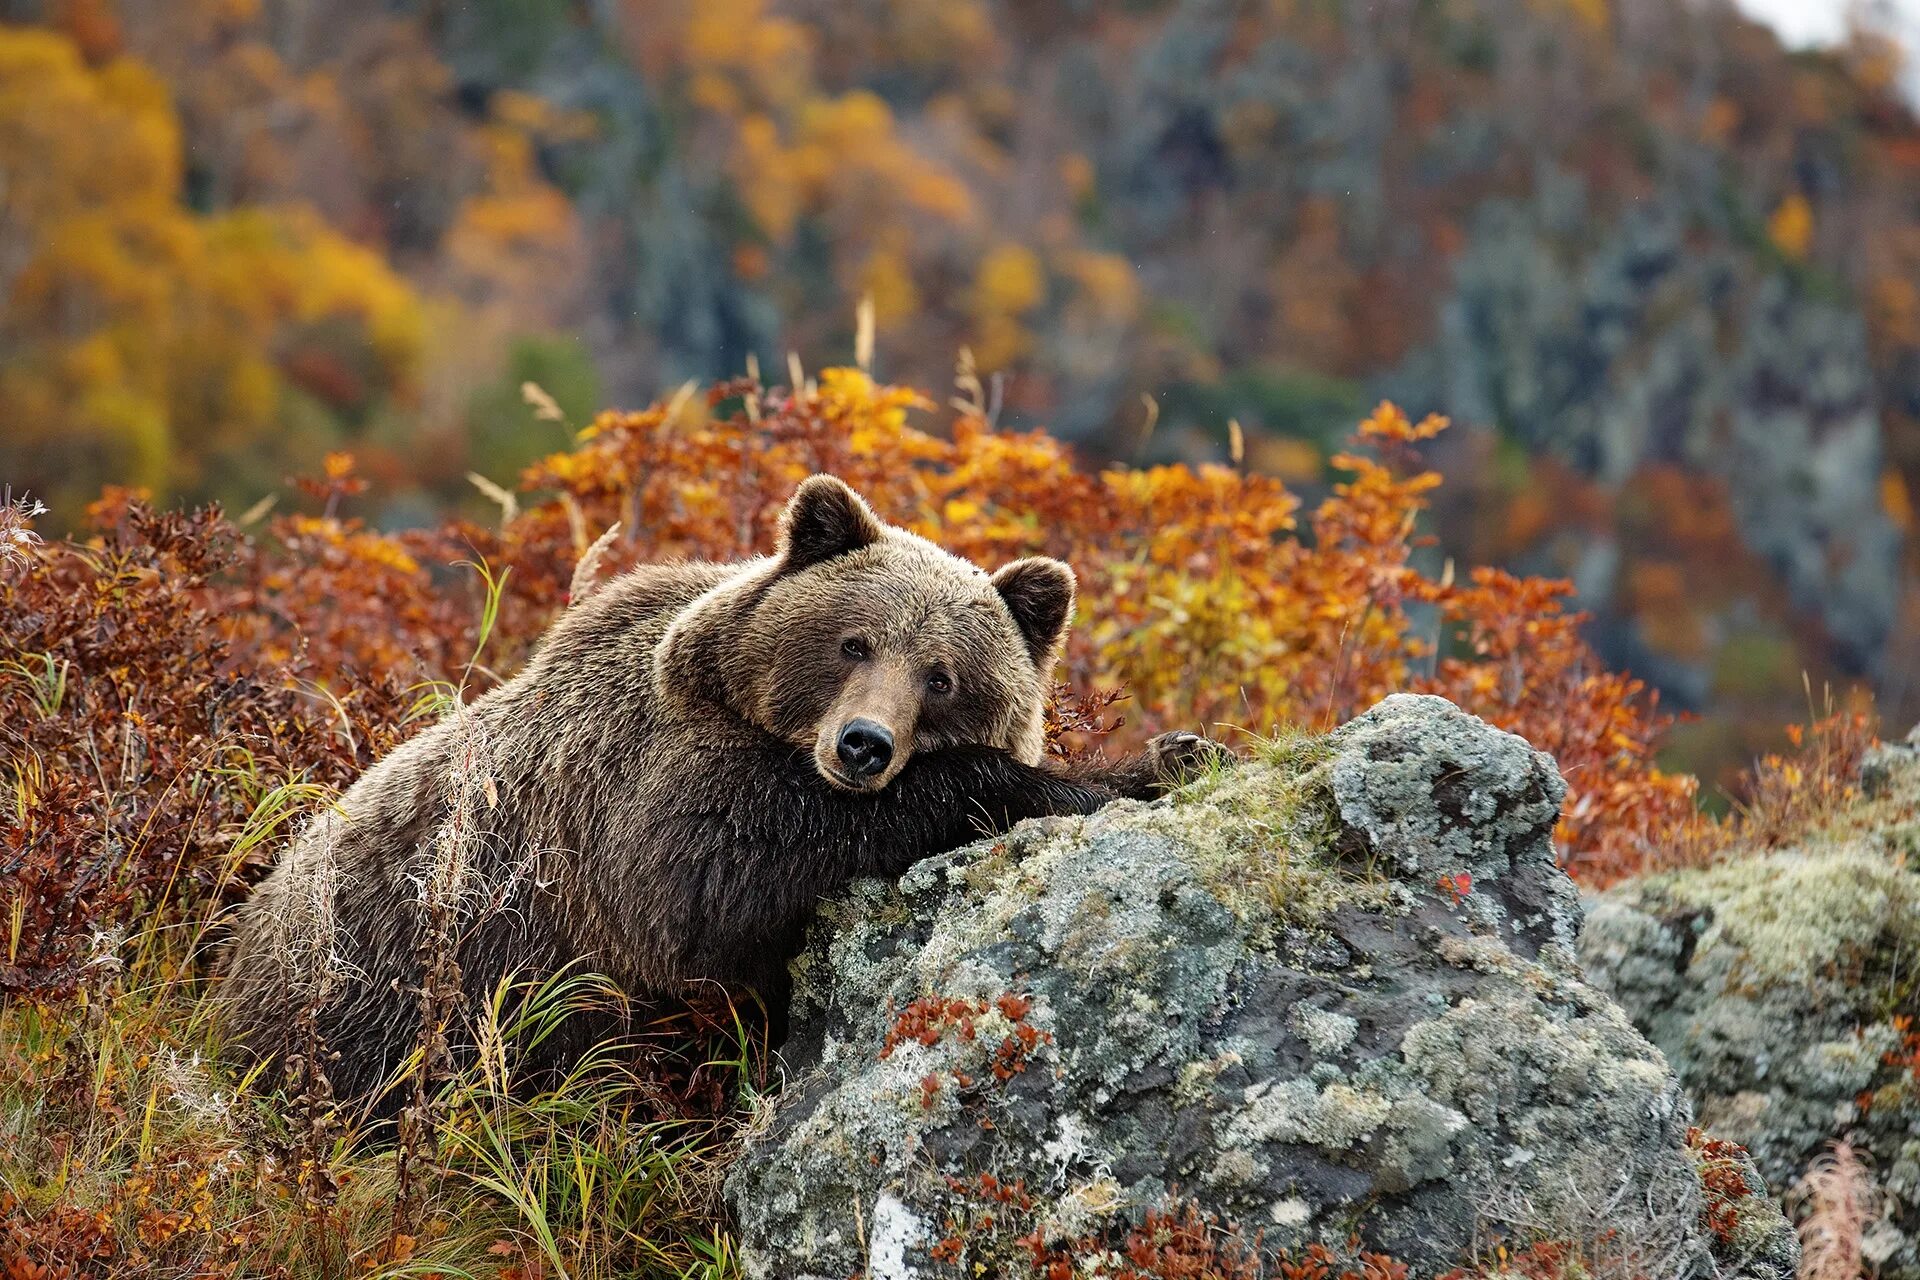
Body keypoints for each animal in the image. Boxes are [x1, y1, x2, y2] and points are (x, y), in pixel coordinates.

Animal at [217, 475, 1213, 1105]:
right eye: (853, 642)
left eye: (942, 676)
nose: (862, 744)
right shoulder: (633, 806)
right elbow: (705, 884)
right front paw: (1113, 772)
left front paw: (1174, 751)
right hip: (378, 1002)